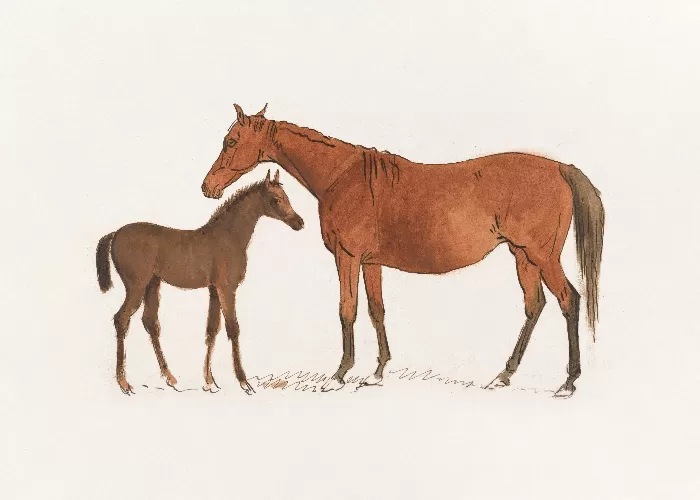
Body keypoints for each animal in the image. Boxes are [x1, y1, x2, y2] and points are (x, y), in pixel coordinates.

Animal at [97, 170, 305, 395]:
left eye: (287, 197)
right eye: (276, 200)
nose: (299, 223)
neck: (229, 236)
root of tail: (115, 233)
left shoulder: (213, 289)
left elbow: (212, 329)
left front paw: (209, 381)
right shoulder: (226, 288)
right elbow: (233, 328)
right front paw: (243, 381)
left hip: (152, 284)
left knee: (150, 322)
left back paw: (170, 377)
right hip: (136, 286)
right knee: (121, 319)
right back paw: (123, 382)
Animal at [201, 104, 605, 397]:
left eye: (232, 141)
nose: (208, 187)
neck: (342, 177)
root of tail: (560, 168)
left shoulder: (347, 257)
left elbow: (347, 310)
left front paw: (339, 375)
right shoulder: (371, 263)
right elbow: (376, 310)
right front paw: (377, 373)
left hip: (541, 256)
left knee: (569, 300)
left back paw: (568, 383)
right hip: (522, 255)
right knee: (535, 305)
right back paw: (503, 376)